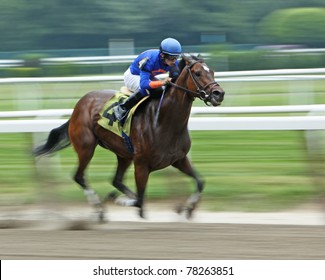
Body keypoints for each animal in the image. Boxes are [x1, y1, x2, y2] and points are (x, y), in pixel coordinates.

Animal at [34, 54, 224, 221]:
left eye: (213, 71)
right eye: (198, 73)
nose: (218, 93)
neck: (164, 121)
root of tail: (79, 105)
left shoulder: (179, 159)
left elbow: (200, 182)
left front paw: (187, 208)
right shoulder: (141, 164)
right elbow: (140, 200)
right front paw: (117, 199)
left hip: (123, 154)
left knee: (116, 180)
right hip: (86, 147)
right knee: (79, 177)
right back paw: (100, 208)